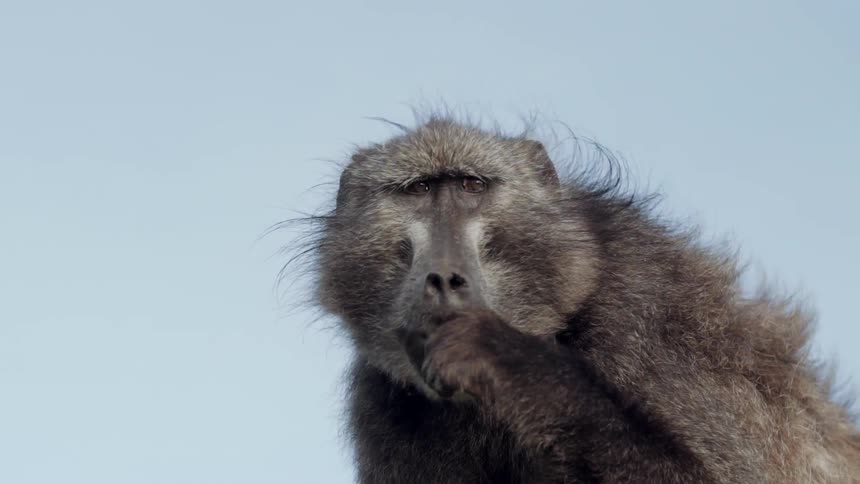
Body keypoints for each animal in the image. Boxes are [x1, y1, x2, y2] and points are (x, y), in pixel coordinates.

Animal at [296, 115, 860, 483]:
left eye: (471, 185)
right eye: (418, 190)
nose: (442, 279)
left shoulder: (644, 315)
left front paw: (505, 358)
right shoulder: (386, 403)